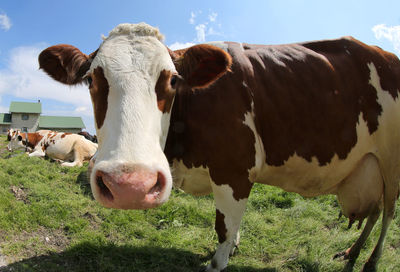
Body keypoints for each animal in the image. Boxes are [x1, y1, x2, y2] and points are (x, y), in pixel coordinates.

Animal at [39, 22, 400, 270]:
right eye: (91, 79)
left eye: (172, 80)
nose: (130, 186)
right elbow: (233, 224)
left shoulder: (235, 169)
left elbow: (224, 226)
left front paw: (219, 260)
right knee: (375, 210)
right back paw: (352, 253)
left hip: (392, 161)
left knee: (388, 214)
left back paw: (370, 261)